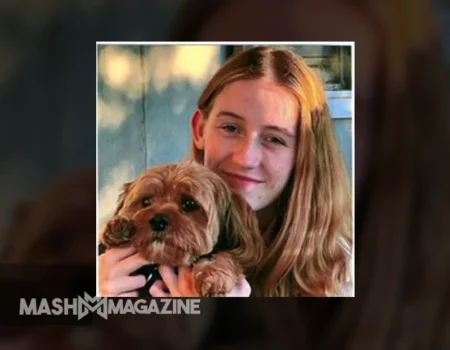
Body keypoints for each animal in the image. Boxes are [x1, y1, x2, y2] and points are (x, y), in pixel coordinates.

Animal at [100, 160, 264, 296]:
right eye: (146, 201)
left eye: (189, 203)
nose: (158, 221)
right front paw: (118, 229)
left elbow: (228, 257)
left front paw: (213, 276)